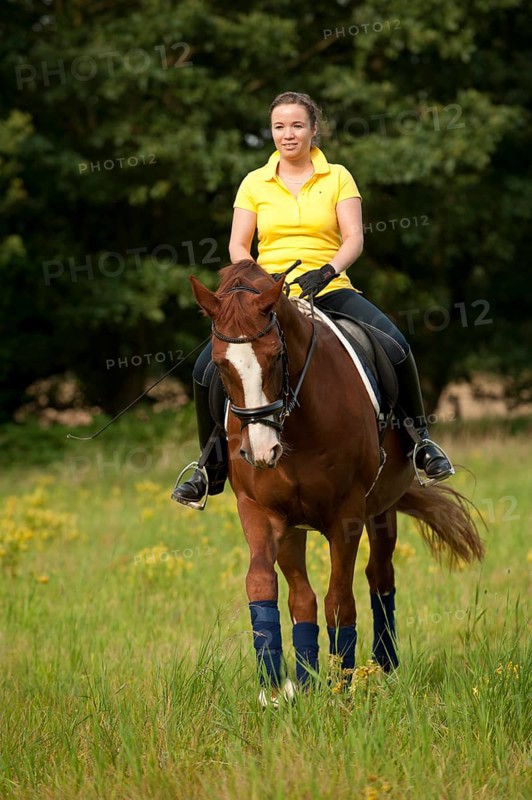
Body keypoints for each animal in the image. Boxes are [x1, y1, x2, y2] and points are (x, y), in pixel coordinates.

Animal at [189, 259, 484, 701]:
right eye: (222, 365)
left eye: (277, 356)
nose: (261, 452)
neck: (297, 423)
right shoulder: (263, 511)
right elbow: (266, 587)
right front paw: (278, 687)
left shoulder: (347, 515)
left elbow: (340, 600)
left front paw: (341, 686)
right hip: (298, 526)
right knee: (308, 595)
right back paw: (313, 677)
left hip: (380, 511)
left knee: (379, 579)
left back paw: (383, 668)